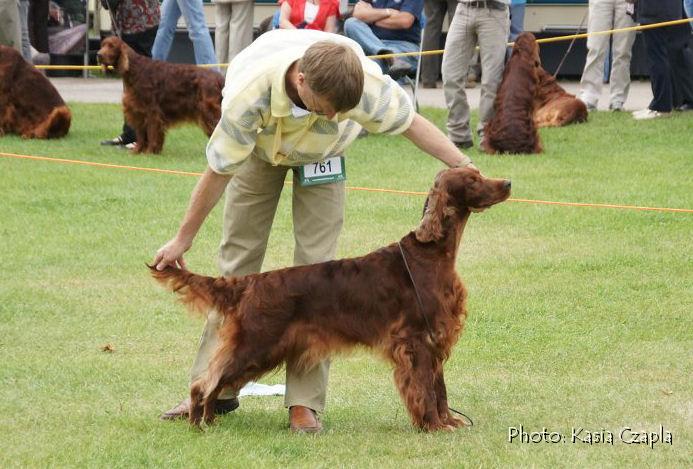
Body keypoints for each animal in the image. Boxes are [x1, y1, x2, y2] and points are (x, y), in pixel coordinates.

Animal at [150, 165, 508, 432]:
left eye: (479, 172)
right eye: (473, 180)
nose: (507, 182)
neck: (431, 253)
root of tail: (249, 283)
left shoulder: (434, 340)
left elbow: (439, 388)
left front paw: (449, 422)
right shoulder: (416, 341)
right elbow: (425, 389)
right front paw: (434, 426)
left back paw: (209, 420)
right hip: (256, 344)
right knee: (204, 382)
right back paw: (197, 423)